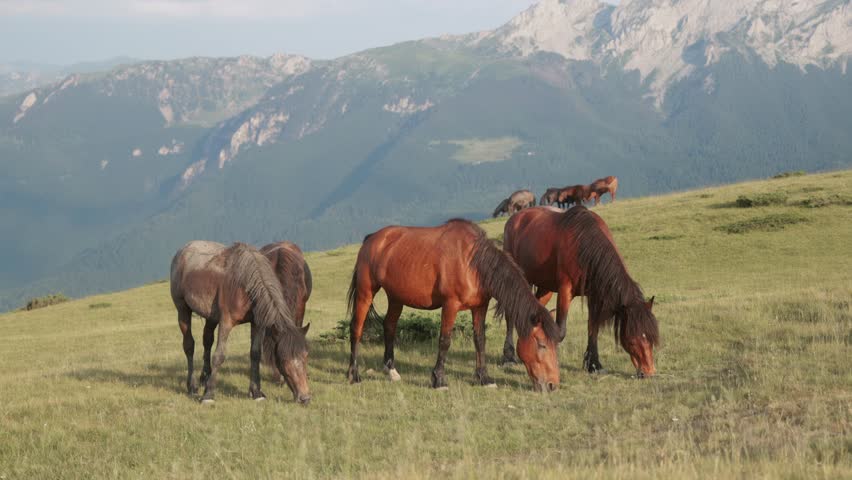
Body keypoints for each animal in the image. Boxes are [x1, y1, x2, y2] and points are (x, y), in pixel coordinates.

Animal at [170, 241, 311, 404]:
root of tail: (184, 249)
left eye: (306, 356)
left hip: (211, 317)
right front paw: (209, 394)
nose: (305, 397)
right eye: (283, 359)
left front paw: (256, 392)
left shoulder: (257, 324)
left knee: (207, 342)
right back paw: (192, 386)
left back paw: (205, 377)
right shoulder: (226, 322)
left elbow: (255, 354)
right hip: (182, 310)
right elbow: (219, 356)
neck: (244, 286)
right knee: (189, 346)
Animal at [346, 219, 561, 392]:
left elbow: (479, 340)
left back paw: (391, 370)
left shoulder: (480, 307)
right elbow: (445, 340)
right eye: (542, 344)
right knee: (357, 328)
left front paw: (484, 378)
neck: (472, 263)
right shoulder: (450, 305)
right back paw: (354, 374)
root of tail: (373, 239)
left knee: (389, 326)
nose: (552, 385)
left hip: (396, 298)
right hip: (366, 292)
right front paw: (439, 380)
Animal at [501, 207, 659, 377]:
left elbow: (593, 328)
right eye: (632, 340)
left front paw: (594, 365)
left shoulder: (594, 296)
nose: (649, 372)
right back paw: (508, 357)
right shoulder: (565, 290)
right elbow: (561, 331)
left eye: (651, 337)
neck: (584, 245)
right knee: (511, 314)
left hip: (545, 288)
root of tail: (515, 218)